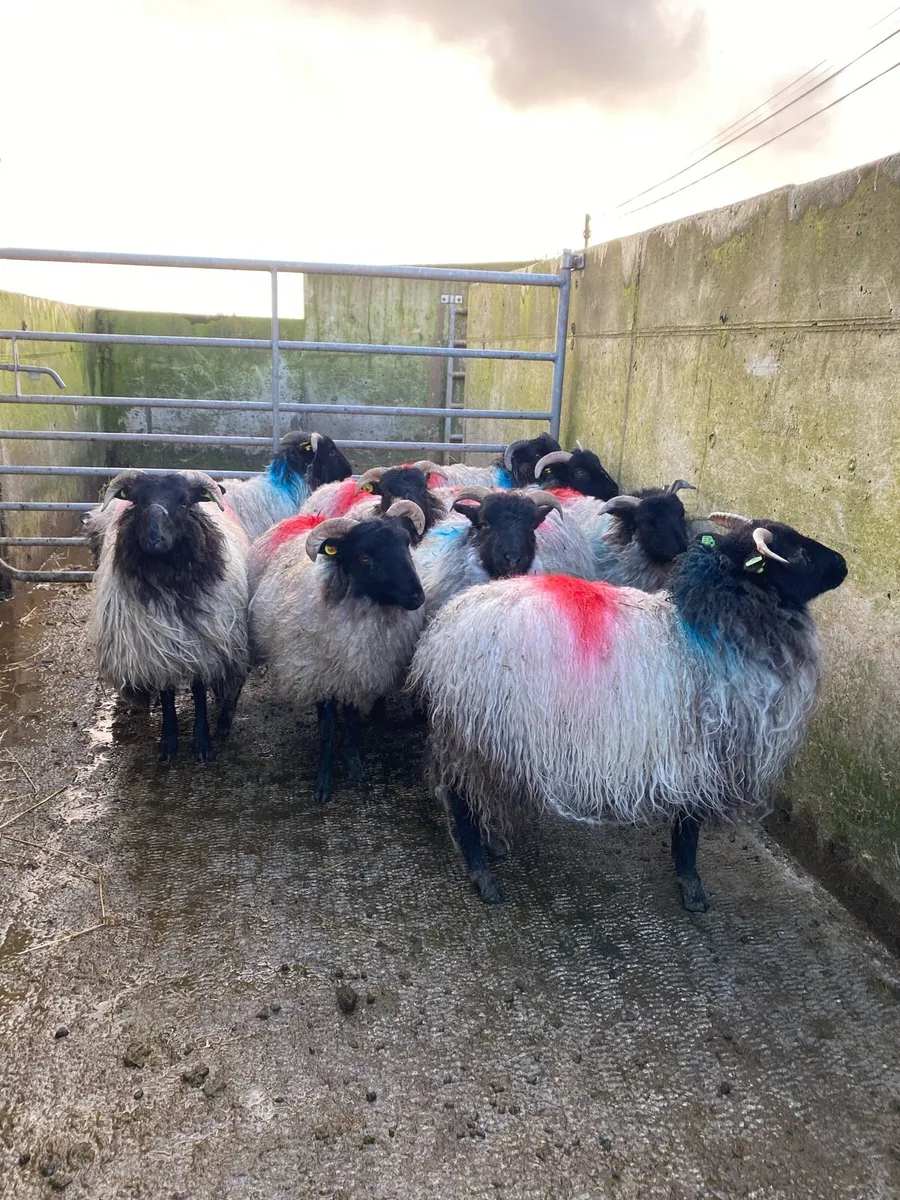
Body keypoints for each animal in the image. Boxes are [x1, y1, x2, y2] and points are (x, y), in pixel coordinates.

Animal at [88, 470, 251, 763]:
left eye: (184, 502)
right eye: (139, 501)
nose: (154, 539)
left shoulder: (201, 647)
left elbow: (198, 692)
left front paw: (202, 742)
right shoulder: (157, 650)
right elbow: (167, 695)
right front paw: (168, 741)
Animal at [250, 499, 426, 802]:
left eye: (406, 545)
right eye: (365, 556)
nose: (417, 597)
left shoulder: (355, 673)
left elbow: (351, 721)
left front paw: (355, 766)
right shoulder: (320, 675)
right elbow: (328, 727)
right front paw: (324, 781)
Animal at [409, 510, 847, 911]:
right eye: (797, 553)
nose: (843, 565)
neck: (708, 627)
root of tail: (440, 634)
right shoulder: (700, 755)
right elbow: (689, 827)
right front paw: (692, 888)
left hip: (484, 736)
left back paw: (494, 842)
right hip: (474, 727)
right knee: (461, 802)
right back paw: (482, 874)